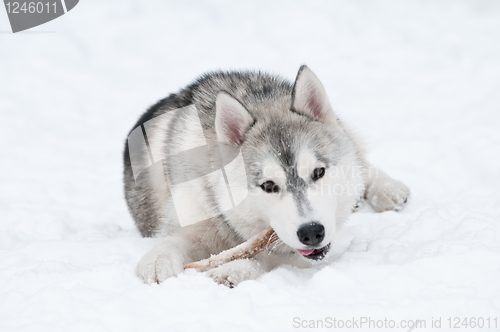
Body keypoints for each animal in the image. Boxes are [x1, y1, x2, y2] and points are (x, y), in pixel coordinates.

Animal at [123, 66, 408, 286]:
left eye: (318, 172)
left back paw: (387, 189)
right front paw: (158, 260)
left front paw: (234, 270)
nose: (312, 232)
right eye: (269, 185)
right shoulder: (191, 221)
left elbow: (264, 257)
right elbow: (172, 242)